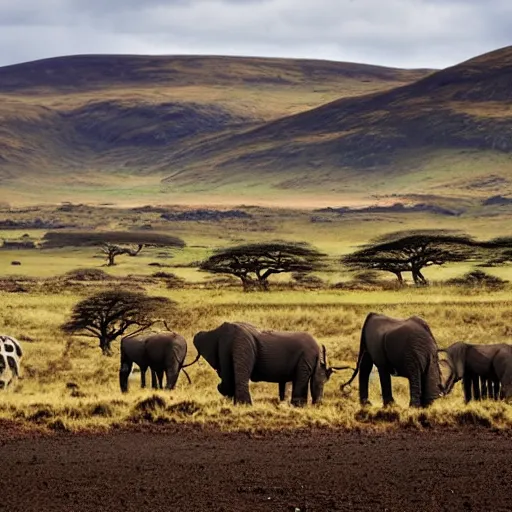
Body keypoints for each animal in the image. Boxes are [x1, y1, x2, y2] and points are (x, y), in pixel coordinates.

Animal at [193, 322, 352, 406]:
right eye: (324, 380)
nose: (318, 405)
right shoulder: (305, 359)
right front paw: (298, 407)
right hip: (242, 344)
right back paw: (246, 406)